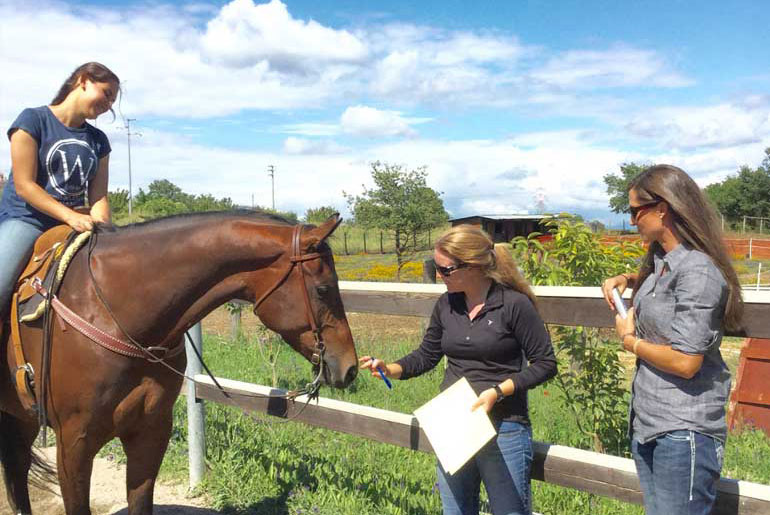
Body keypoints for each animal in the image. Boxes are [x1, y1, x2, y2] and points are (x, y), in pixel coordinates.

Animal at [0, 212, 360, 512]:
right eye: (324, 289)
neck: (110, 311)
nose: (350, 367)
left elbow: (140, 501)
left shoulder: (151, 431)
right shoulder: (73, 443)